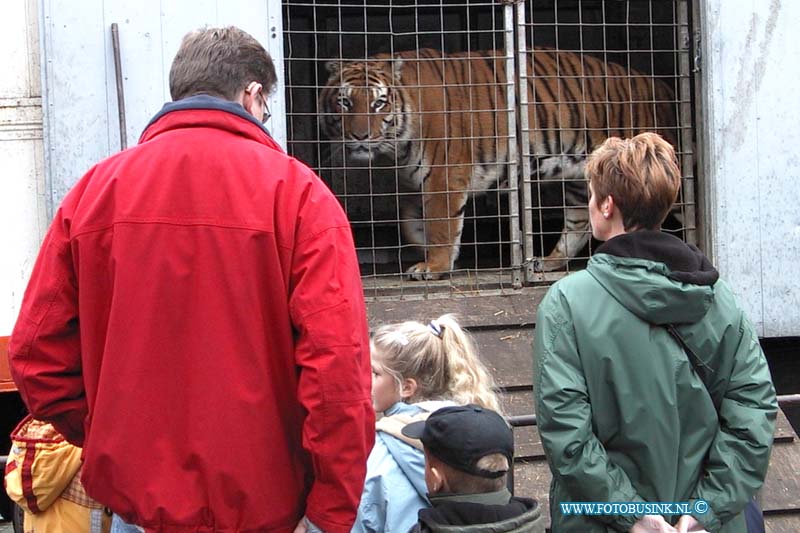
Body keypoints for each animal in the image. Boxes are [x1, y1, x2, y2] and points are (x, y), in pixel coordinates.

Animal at [318, 47, 676, 280]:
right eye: (345, 101)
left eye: (378, 103)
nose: (360, 136)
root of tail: (662, 85)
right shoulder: (415, 182)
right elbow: (411, 223)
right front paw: (433, 254)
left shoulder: (444, 177)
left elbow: (441, 225)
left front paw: (434, 266)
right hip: (580, 178)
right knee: (579, 222)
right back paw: (548, 261)